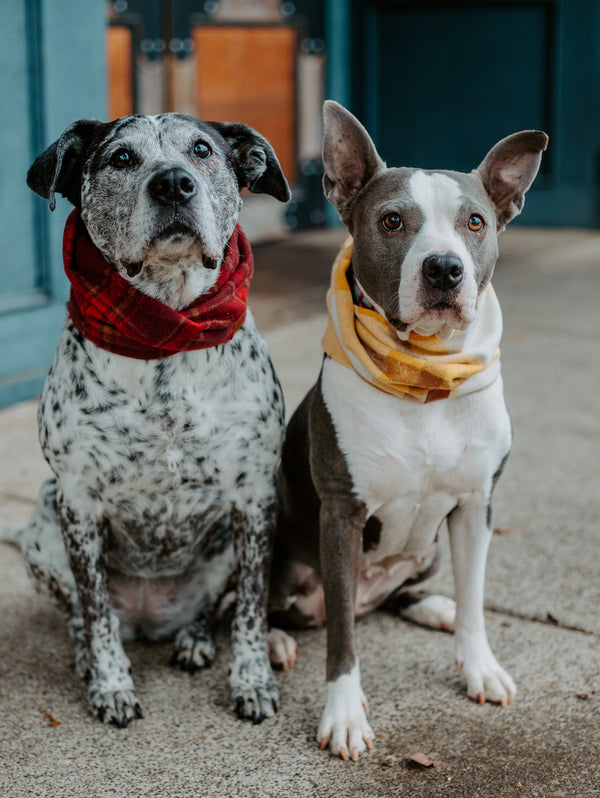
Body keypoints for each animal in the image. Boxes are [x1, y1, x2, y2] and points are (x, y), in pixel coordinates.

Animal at [4, 114, 290, 732]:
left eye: (202, 149)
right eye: (120, 158)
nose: (174, 184)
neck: (168, 329)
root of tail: (148, 618)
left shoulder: (255, 499)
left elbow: (251, 610)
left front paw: (252, 681)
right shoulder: (78, 503)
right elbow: (94, 610)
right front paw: (111, 684)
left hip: (224, 543)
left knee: (209, 608)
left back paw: (194, 638)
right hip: (44, 528)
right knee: (83, 615)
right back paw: (90, 656)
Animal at [270, 101, 548, 764]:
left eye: (475, 221)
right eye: (392, 220)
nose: (444, 268)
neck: (425, 380)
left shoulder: (476, 505)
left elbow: (476, 600)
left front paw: (479, 665)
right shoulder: (341, 515)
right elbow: (342, 639)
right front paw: (344, 715)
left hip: (426, 551)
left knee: (401, 592)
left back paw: (431, 606)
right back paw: (273, 644)